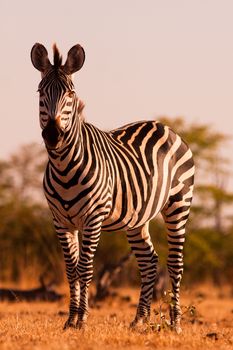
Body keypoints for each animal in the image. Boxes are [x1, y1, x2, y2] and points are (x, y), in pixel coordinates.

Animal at [31, 43, 195, 334]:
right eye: (40, 92)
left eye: (71, 94)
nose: (53, 135)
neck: (63, 165)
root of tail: (164, 126)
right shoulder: (61, 221)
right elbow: (70, 270)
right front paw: (70, 320)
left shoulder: (93, 218)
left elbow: (85, 268)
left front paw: (82, 320)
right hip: (137, 220)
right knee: (149, 262)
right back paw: (140, 319)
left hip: (179, 204)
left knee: (175, 263)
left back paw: (175, 323)